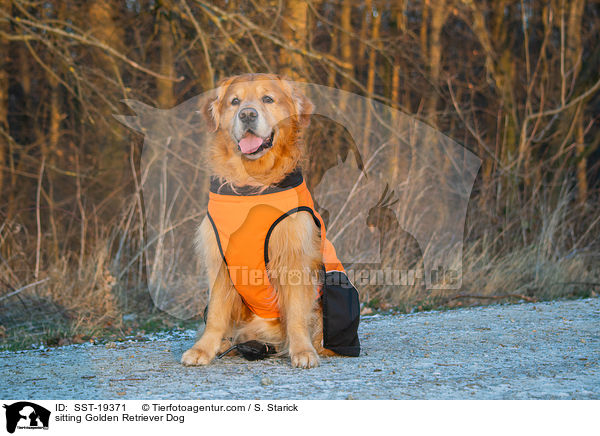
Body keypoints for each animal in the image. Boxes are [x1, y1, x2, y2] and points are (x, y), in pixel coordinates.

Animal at [183, 74, 358, 368]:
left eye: (268, 99)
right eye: (235, 101)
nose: (247, 114)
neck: (251, 186)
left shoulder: (294, 256)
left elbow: (297, 314)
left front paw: (302, 351)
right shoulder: (219, 259)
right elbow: (216, 313)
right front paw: (203, 349)